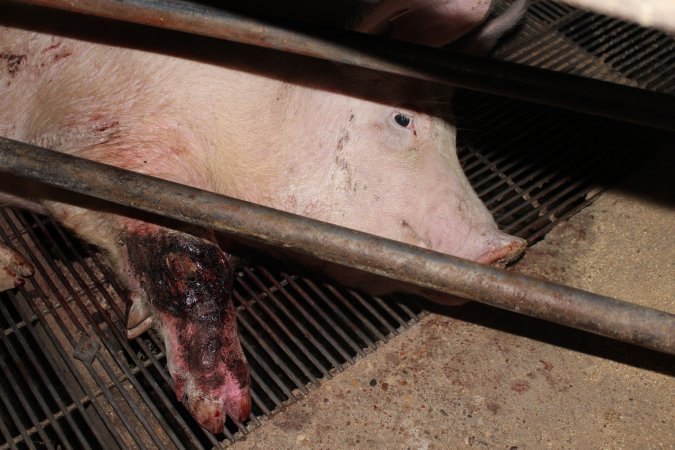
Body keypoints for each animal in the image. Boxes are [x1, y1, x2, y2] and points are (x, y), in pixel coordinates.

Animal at [0, 0, 528, 434]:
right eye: (403, 119)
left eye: (455, 135)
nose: (507, 249)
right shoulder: (103, 146)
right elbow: (191, 258)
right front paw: (224, 410)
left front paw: (138, 320)